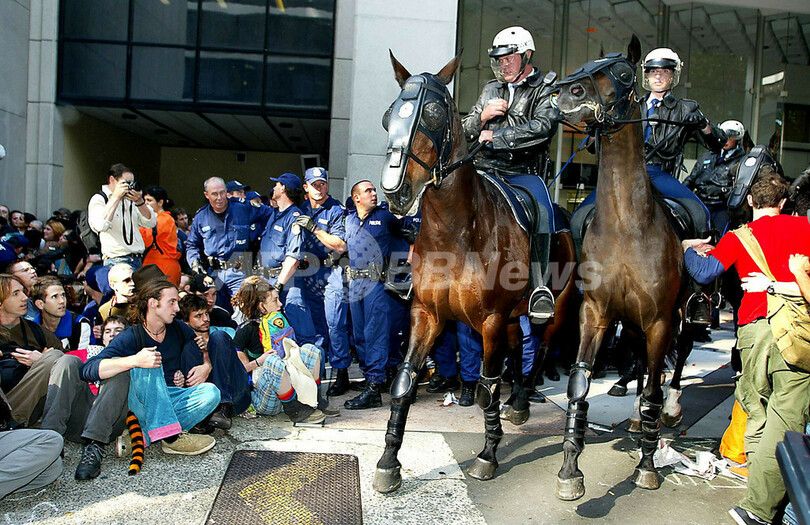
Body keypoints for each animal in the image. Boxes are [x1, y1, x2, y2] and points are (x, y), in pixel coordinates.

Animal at [372, 53, 576, 492]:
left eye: (433, 113)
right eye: (388, 115)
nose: (396, 191)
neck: (456, 232)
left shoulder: (490, 320)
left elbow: (485, 387)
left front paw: (487, 454)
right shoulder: (427, 315)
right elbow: (404, 382)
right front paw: (388, 462)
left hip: (556, 306)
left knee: (540, 349)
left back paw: (521, 400)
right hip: (512, 319)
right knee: (518, 350)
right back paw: (517, 405)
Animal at [548, 34, 680, 498]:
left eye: (624, 73)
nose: (568, 96)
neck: (627, 224)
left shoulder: (660, 320)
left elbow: (655, 387)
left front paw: (647, 465)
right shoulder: (596, 313)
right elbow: (579, 384)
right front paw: (570, 468)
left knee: (670, 369)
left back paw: (663, 416)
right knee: (640, 365)